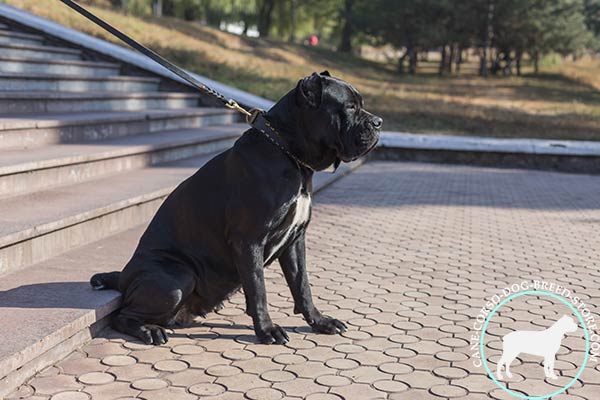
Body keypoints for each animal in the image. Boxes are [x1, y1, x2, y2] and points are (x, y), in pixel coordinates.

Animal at [91, 71, 382, 344]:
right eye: (350, 107)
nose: (378, 122)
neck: (288, 152)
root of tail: (124, 276)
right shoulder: (248, 241)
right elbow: (258, 289)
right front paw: (267, 330)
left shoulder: (295, 240)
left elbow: (302, 285)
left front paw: (320, 322)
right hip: (177, 277)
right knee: (123, 315)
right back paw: (149, 330)